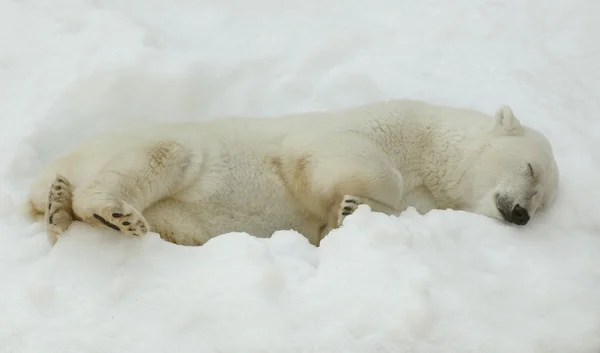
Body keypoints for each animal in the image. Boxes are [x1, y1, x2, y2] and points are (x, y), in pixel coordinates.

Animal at [24, 99, 556, 245]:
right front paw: (354, 200)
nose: (521, 214)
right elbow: (325, 154)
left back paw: (58, 208)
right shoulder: (387, 123)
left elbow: (328, 229)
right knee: (163, 154)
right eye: (530, 168)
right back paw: (111, 212)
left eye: (544, 200)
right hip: (142, 146)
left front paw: (349, 212)